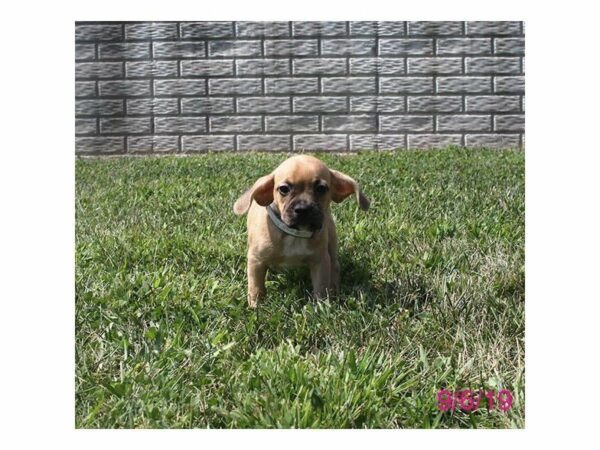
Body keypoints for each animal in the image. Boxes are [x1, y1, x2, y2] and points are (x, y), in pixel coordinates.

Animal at [236, 154, 370, 306]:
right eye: (284, 189)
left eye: (321, 188)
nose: (303, 209)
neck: (295, 233)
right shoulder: (256, 260)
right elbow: (256, 287)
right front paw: (256, 305)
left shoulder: (320, 261)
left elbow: (321, 288)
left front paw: (322, 307)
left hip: (331, 241)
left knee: (334, 266)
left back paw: (334, 291)